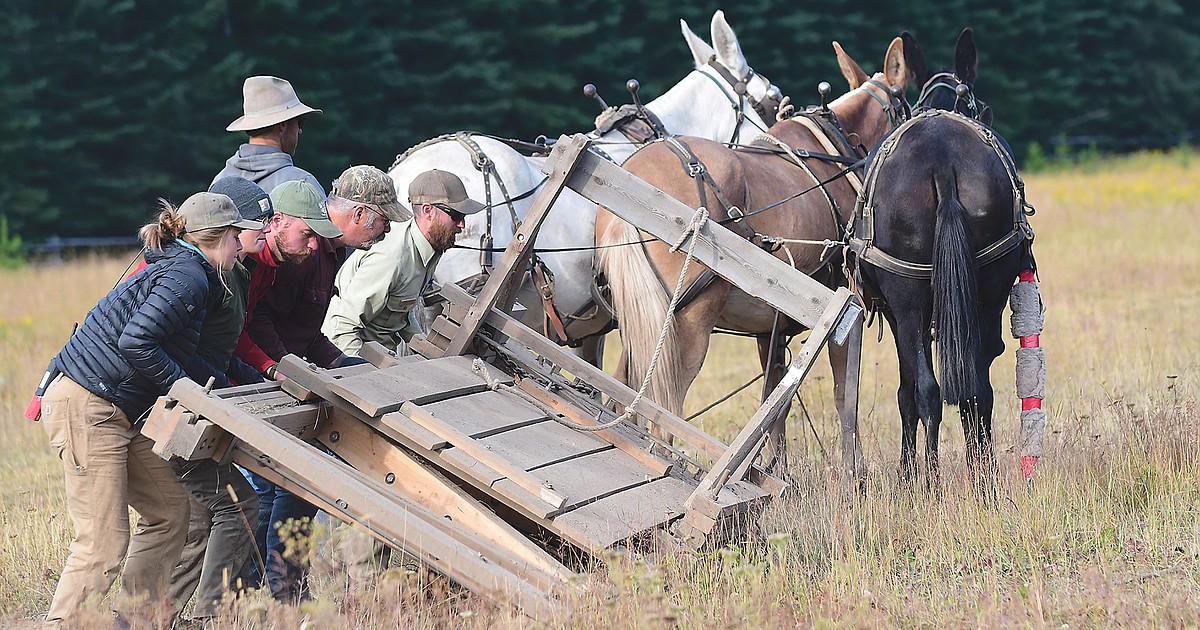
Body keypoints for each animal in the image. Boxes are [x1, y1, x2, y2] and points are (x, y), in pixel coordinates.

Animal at [596, 38, 911, 470]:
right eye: (905, 108)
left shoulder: (770, 326)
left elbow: (774, 398)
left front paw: (772, 467)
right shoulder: (848, 315)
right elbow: (844, 394)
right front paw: (854, 471)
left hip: (642, 317)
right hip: (687, 321)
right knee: (663, 415)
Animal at [847, 29, 1035, 487]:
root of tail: (942, 161)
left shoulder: (898, 314)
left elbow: (908, 393)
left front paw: (908, 473)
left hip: (910, 306)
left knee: (929, 391)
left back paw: (928, 483)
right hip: (987, 295)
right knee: (977, 389)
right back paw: (985, 480)